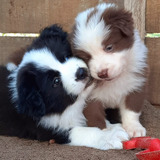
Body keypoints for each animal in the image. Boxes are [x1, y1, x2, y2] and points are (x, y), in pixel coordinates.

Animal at [0, 24, 128, 150]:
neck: (67, 106)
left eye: (66, 57)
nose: (81, 72)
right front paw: (109, 137)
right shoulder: (47, 130)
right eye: (56, 81)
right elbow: (82, 131)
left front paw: (112, 127)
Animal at [70, 2, 148, 138]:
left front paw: (134, 128)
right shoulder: (89, 96)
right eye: (87, 57)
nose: (102, 73)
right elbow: (95, 115)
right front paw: (105, 133)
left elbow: (131, 109)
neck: (113, 81)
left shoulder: (135, 85)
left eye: (109, 47)